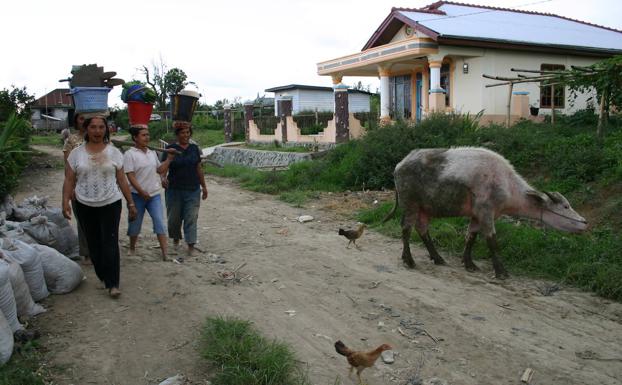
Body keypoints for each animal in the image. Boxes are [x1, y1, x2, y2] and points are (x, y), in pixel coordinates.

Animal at [386, 146, 588, 278]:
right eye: (565, 206)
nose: (585, 222)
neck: (507, 185)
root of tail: (399, 165)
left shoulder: (477, 215)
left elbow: (471, 237)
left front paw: (469, 264)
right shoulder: (486, 213)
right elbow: (492, 241)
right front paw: (501, 272)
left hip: (424, 208)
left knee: (422, 229)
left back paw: (438, 258)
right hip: (410, 204)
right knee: (406, 228)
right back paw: (409, 260)